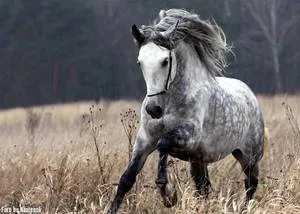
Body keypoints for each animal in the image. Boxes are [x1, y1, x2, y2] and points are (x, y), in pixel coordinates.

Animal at [109, 8, 264, 214]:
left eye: (165, 61)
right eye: (139, 62)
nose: (153, 109)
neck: (169, 102)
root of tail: (250, 95)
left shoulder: (188, 136)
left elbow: (162, 144)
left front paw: (168, 195)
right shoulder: (144, 140)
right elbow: (126, 179)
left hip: (249, 156)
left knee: (250, 183)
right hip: (198, 160)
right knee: (203, 187)